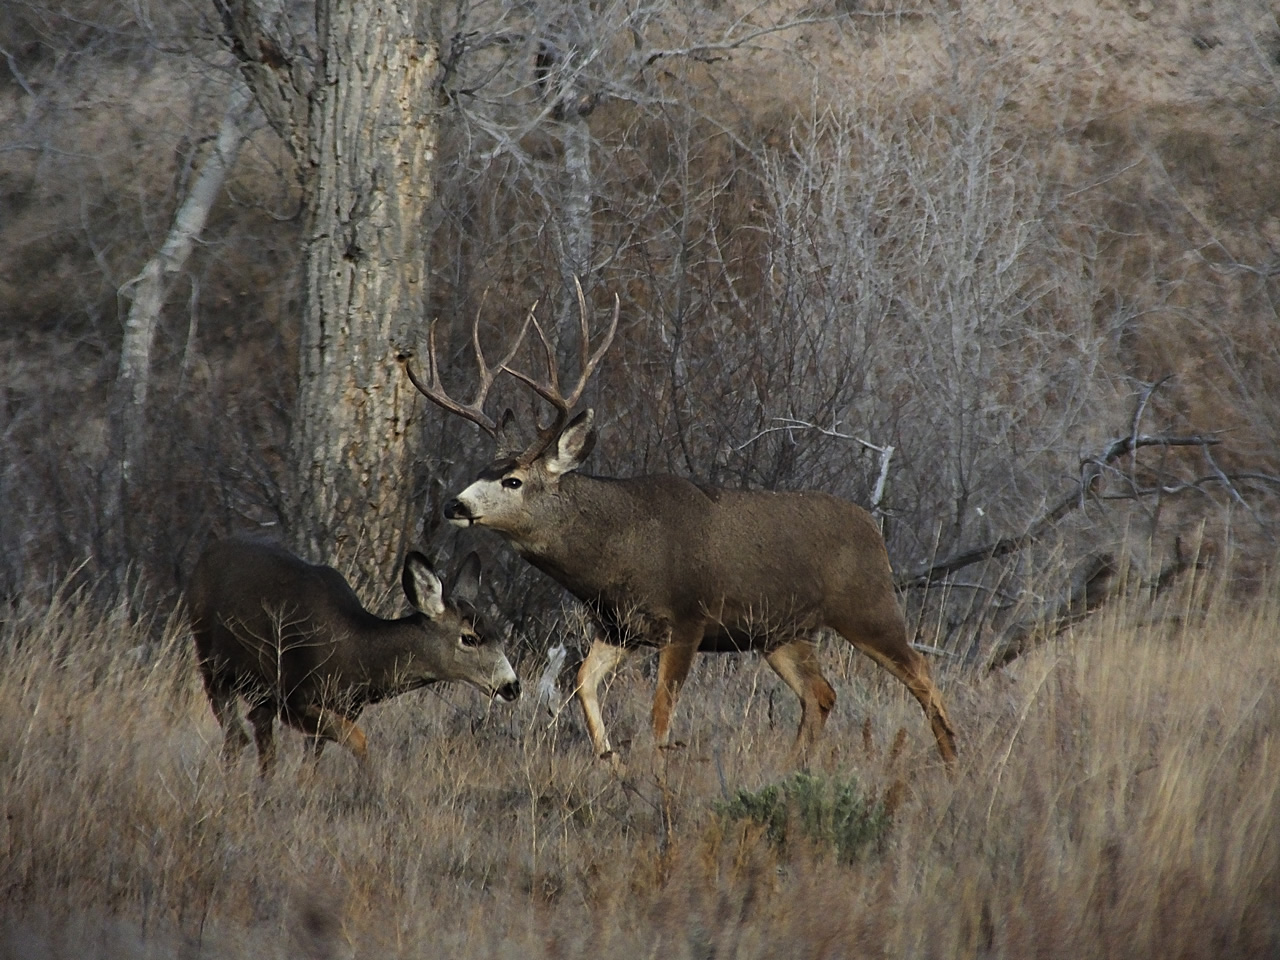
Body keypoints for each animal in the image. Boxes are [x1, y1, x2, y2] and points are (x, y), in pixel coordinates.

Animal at [188, 536, 520, 775]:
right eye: (469, 638)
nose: (512, 686)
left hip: (259, 693)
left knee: (257, 733)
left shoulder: (343, 707)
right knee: (236, 735)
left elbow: (311, 765)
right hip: (211, 663)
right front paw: (371, 788)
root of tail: (206, 552)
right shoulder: (293, 698)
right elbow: (359, 740)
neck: (358, 656)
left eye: (498, 634)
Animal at [403, 286, 957, 767]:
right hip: (780, 633)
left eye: (513, 480)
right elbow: (583, 684)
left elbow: (660, 714)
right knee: (821, 694)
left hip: (868, 605)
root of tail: (872, 526)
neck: (618, 549)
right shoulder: (619, 627)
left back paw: (953, 762)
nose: (453, 504)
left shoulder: (689, 618)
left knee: (922, 673)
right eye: (482, 469)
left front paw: (657, 770)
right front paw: (611, 761)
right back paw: (793, 767)